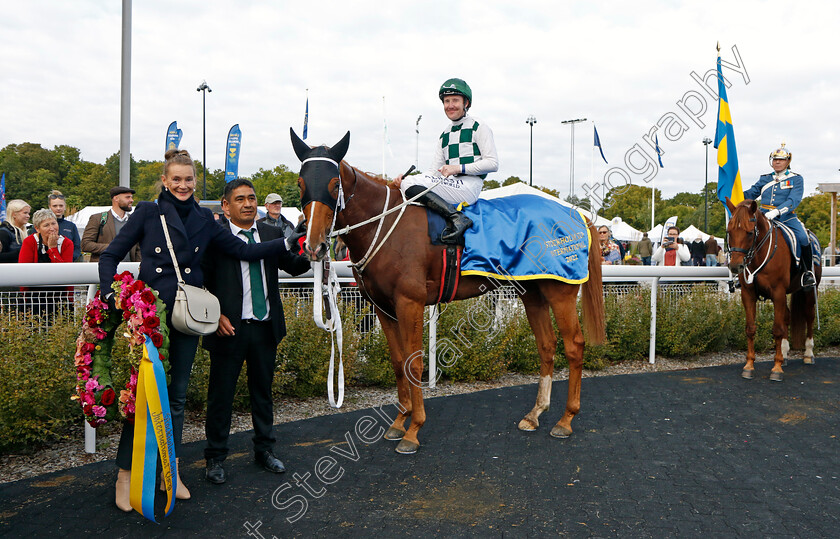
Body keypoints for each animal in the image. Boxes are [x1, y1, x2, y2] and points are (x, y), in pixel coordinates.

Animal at [290, 131, 604, 456]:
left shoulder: (410, 303)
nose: (313, 245)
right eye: (301, 184)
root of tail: (578, 215)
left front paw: (413, 430)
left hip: (561, 291)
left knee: (574, 345)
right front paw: (399, 421)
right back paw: (534, 414)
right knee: (546, 345)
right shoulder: (382, 307)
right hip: (532, 291)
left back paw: (566, 420)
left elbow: (414, 362)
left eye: (333, 184)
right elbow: (397, 361)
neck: (384, 223)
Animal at [724, 199, 816, 384]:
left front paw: (776, 368)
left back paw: (808, 353)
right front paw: (749, 365)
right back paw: (785, 353)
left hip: (809, 290)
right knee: (787, 316)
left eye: (749, 233)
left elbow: (777, 330)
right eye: (729, 232)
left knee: (809, 316)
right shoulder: (748, 295)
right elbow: (750, 328)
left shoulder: (778, 293)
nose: (735, 266)